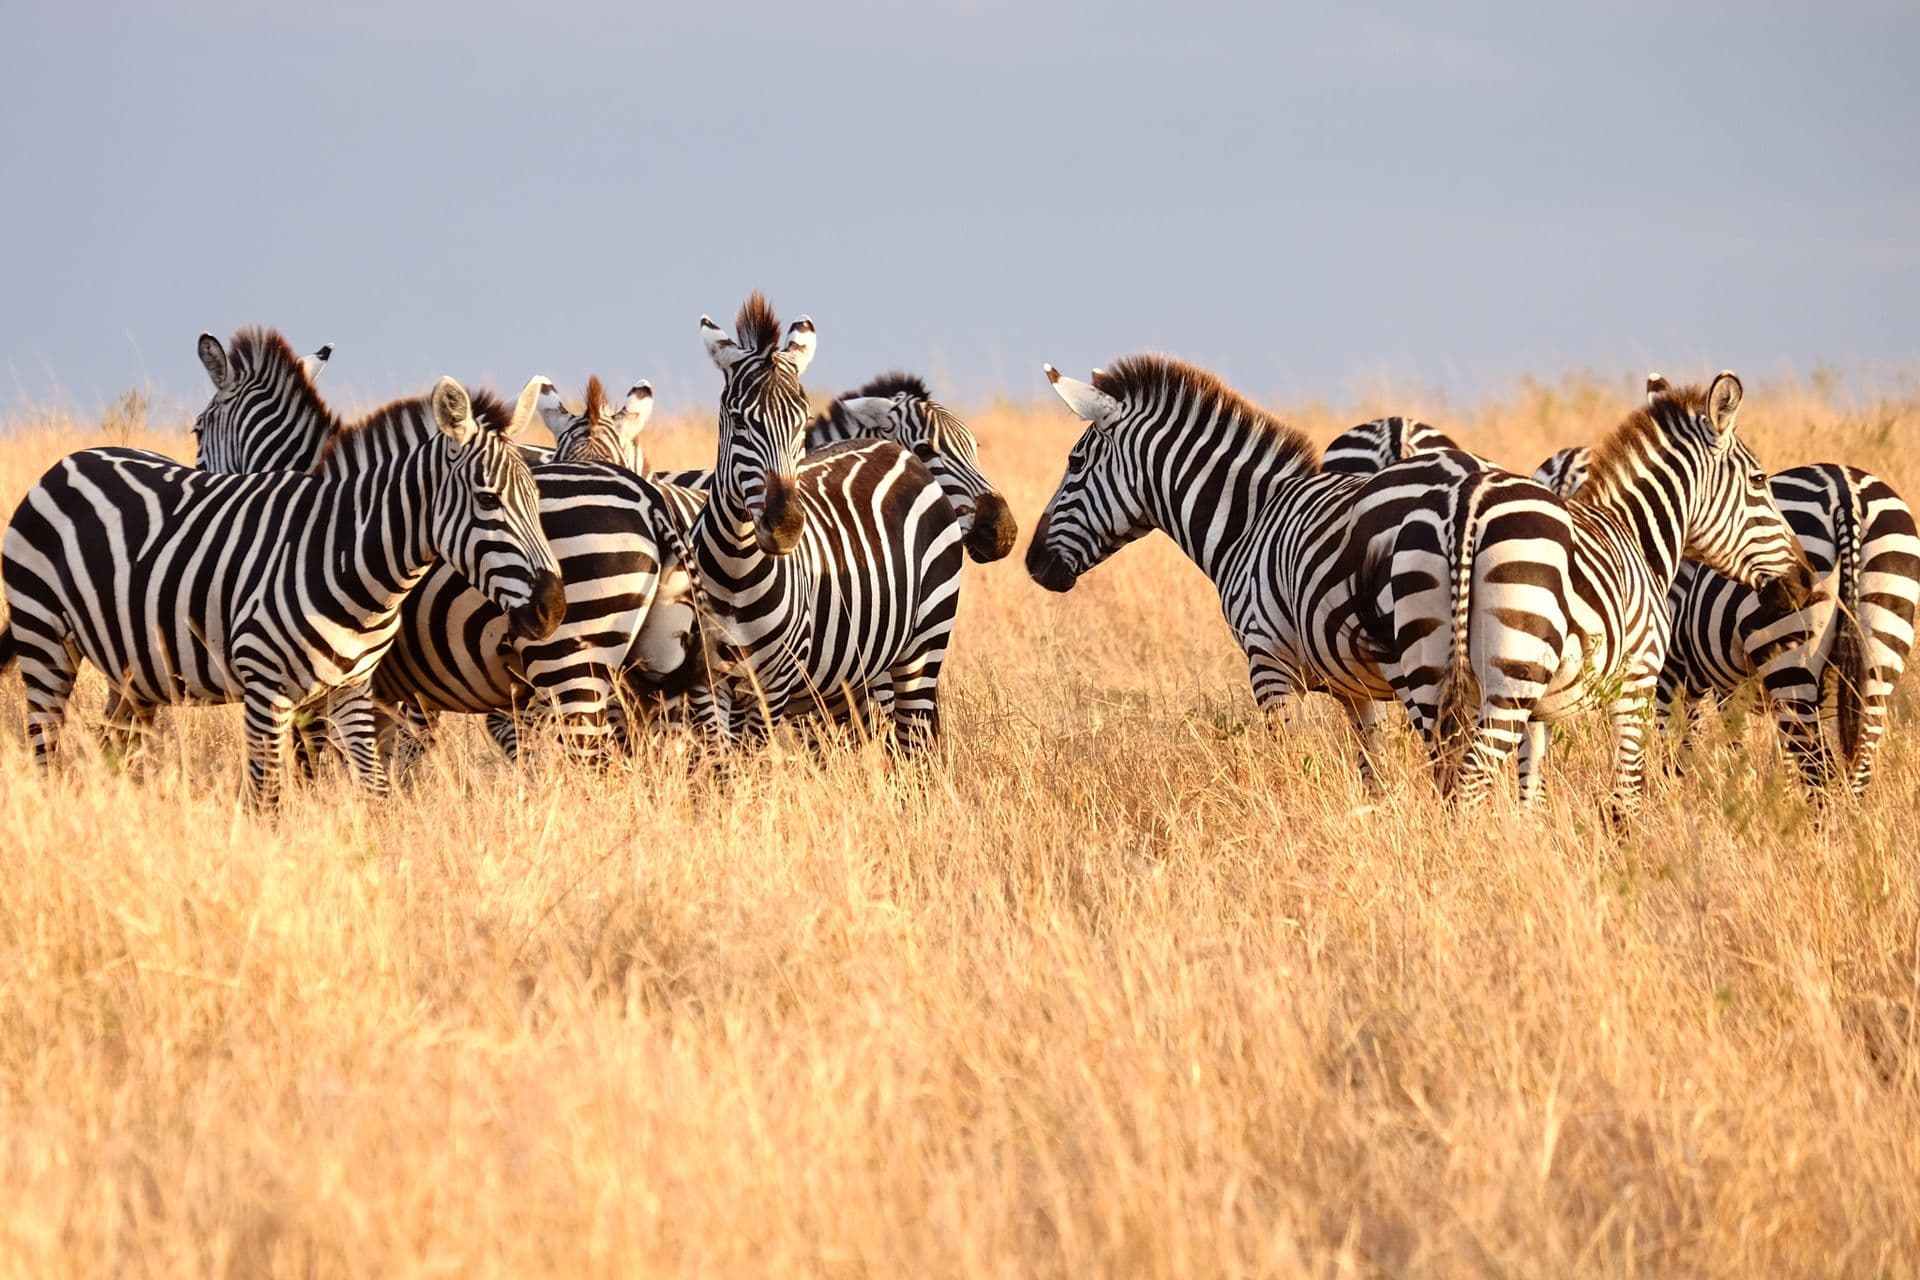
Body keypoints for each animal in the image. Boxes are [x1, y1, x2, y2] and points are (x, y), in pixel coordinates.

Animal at [0, 376, 564, 803]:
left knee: (115, 748)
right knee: (46, 752)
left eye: (537, 497)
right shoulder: (267, 687)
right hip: (45, 640)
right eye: (487, 500)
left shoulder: (352, 688)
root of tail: (69, 461)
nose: (553, 608)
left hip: (134, 667)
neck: (348, 558)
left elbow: (375, 794)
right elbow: (270, 797)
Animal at [683, 294, 964, 748]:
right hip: (854, 673)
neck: (736, 573)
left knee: (913, 745)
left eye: (802, 422)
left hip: (924, 643)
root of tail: (897, 450)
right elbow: (720, 762)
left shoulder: (775, 682)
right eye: (739, 421)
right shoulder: (708, 680)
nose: (784, 526)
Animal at [1350, 372, 1813, 815]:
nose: (1805, 580)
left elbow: (1531, 789)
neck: (1636, 535)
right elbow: (1628, 790)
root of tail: (1467, 503)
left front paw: (1530, 839)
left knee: (1445, 774)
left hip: (1429, 667)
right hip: (1511, 677)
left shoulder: (1538, 711)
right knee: (1472, 777)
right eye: (1759, 480)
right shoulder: (1639, 678)